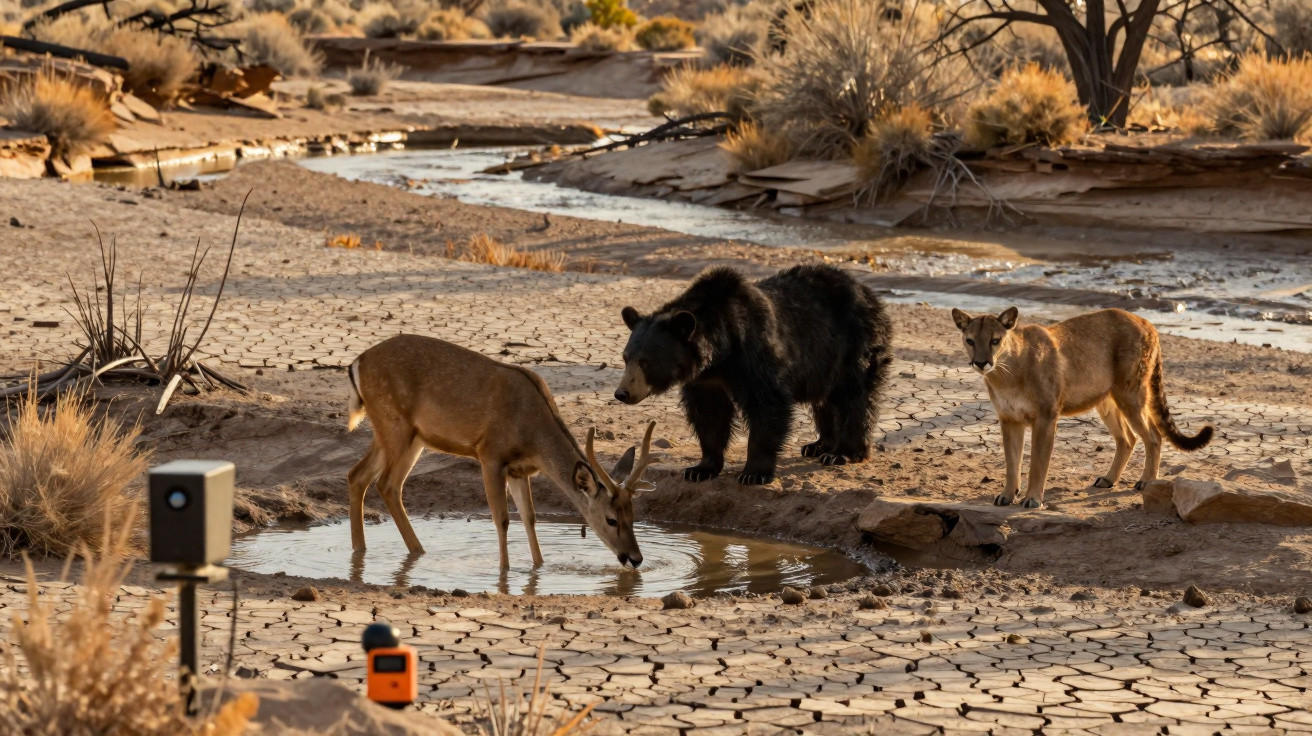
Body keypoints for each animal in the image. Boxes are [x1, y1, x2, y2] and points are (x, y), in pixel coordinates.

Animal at [613, 264, 893, 485]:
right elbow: (709, 414)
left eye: (646, 361)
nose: (621, 393)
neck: (721, 353)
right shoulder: (705, 380)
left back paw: (841, 453)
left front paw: (753, 473)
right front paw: (699, 469)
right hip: (824, 362)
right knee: (824, 400)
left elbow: (767, 405)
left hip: (853, 346)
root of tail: (869, 293)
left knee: (854, 397)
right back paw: (818, 445)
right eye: (626, 357)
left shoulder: (754, 356)